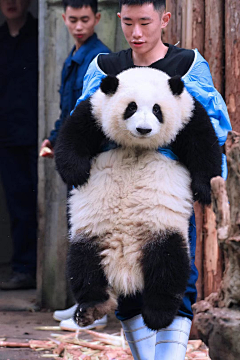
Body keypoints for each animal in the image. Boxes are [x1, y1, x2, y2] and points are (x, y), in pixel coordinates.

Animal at [54, 66, 221, 330]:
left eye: (157, 109)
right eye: (131, 107)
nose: (143, 129)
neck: (137, 146)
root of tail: (125, 272)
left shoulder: (188, 114)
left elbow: (204, 145)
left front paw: (203, 190)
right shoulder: (95, 110)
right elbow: (73, 134)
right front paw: (77, 173)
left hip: (162, 230)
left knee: (169, 266)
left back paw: (158, 313)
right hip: (91, 235)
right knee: (83, 265)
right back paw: (91, 308)